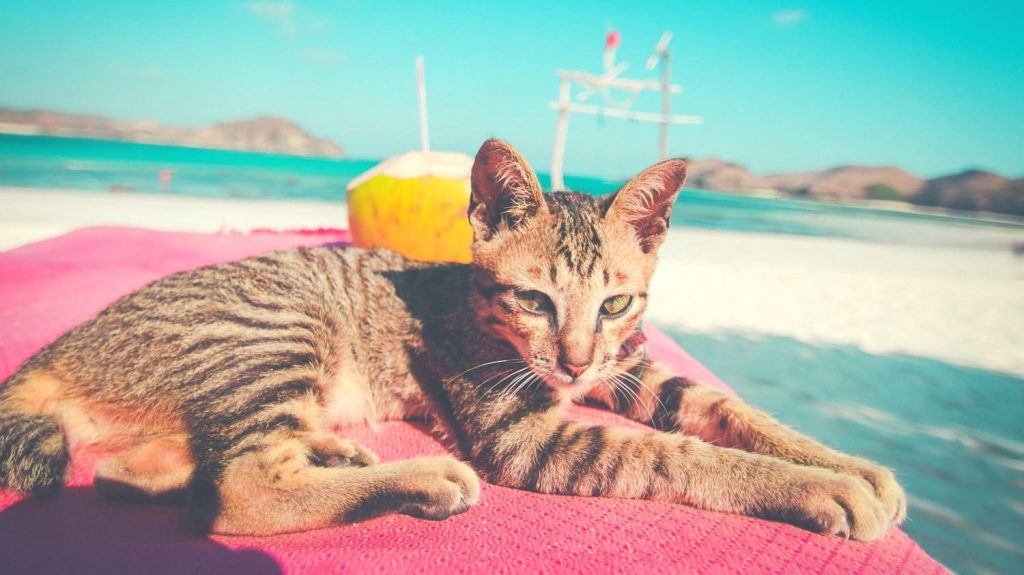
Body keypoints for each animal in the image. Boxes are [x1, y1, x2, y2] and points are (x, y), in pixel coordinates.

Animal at [0, 138, 905, 536]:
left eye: (614, 303)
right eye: (535, 299)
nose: (573, 360)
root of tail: (54, 350)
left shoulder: (629, 368)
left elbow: (726, 408)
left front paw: (845, 462)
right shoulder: (531, 435)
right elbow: (679, 453)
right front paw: (817, 486)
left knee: (132, 473)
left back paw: (337, 453)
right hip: (279, 332)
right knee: (237, 495)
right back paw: (419, 478)